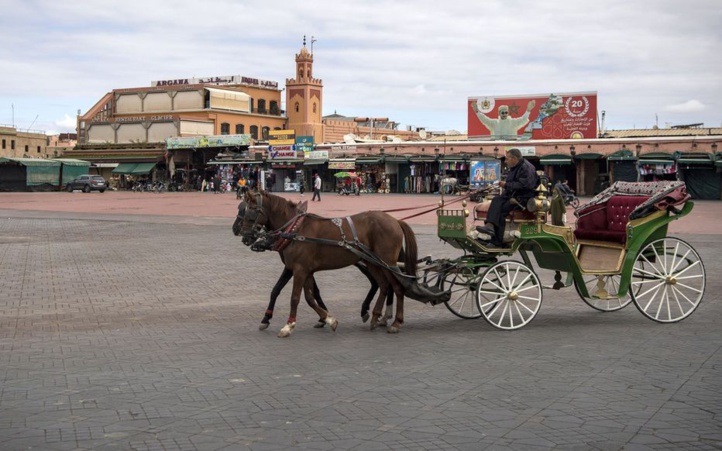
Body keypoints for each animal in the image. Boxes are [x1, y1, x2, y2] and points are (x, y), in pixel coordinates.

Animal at [239, 192, 416, 340]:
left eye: (251, 210)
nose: (245, 236)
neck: (296, 229)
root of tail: (394, 220)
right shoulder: (305, 270)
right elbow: (309, 298)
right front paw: (328, 319)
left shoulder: (300, 269)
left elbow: (295, 298)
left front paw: (288, 325)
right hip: (373, 263)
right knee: (384, 285)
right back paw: (375, 316)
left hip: (388, 262)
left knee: (397, 288)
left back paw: (396, 322)